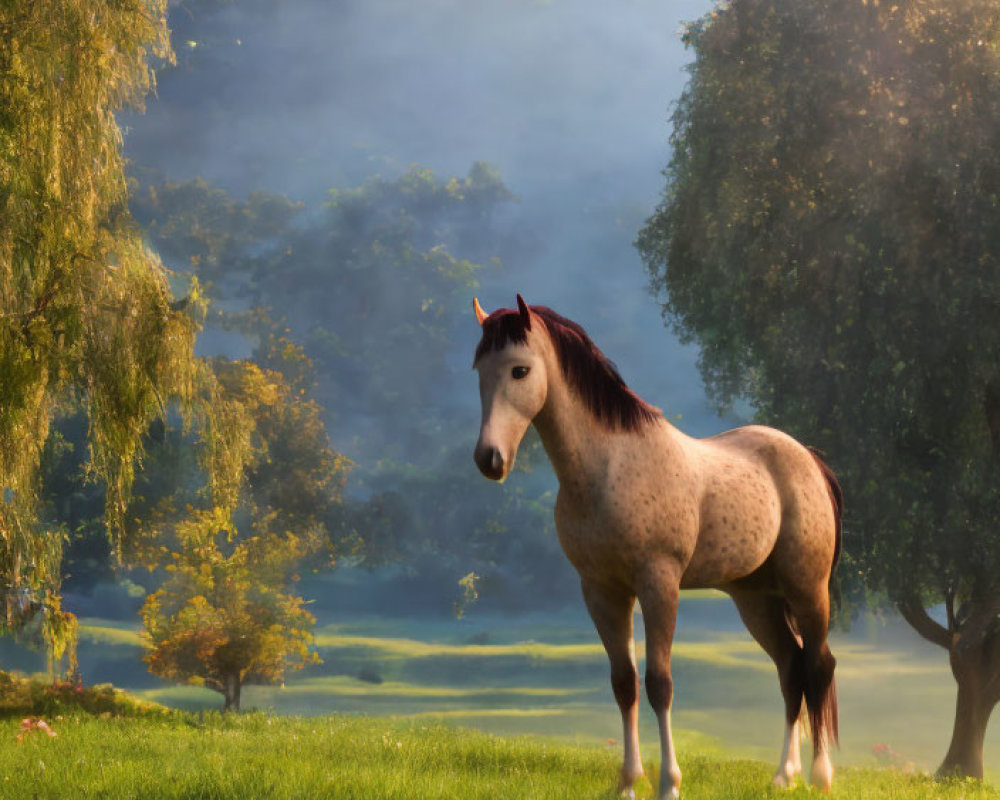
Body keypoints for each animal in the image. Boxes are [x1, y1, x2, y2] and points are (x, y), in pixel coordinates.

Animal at [472, 296, 840, 796]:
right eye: (479, 369)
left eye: (519, 370)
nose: (489, 459)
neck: (609, 468)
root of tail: (810, 460)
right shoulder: (602, 591)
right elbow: (624, 683)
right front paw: (629, 781)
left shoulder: (658, 585)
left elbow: (659, 684)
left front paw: (669, 783)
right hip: (756, 600)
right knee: (790, 668)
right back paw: (784, 775)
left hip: (808, 588)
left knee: (819, 666)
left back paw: (820, 776)